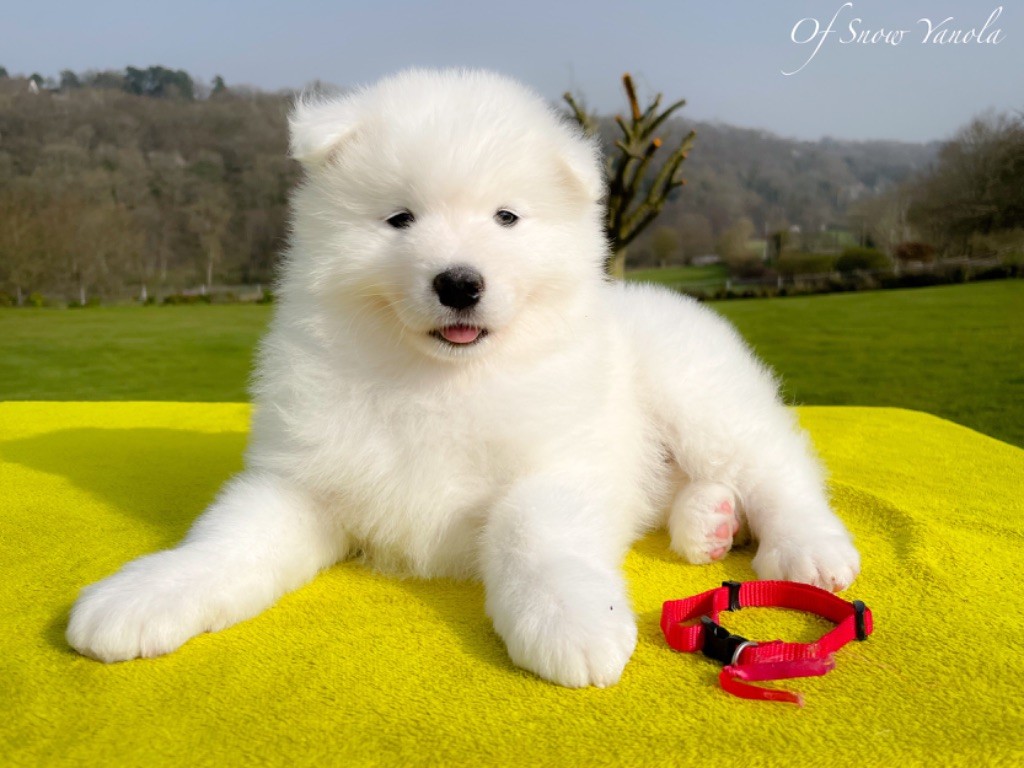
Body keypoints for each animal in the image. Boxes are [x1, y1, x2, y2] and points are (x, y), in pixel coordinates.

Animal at [67, 69, 860, 688]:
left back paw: (807, 550)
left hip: (700, 393)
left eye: (506, 217)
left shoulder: (559, 461)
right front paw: (146, 594)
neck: (439, 379)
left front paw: (572, 621)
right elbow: (228, 540)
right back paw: (710, 524)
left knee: (778, 469)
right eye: (400, 218)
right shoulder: (305, 480)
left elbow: (529, 530)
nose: (458, 282)